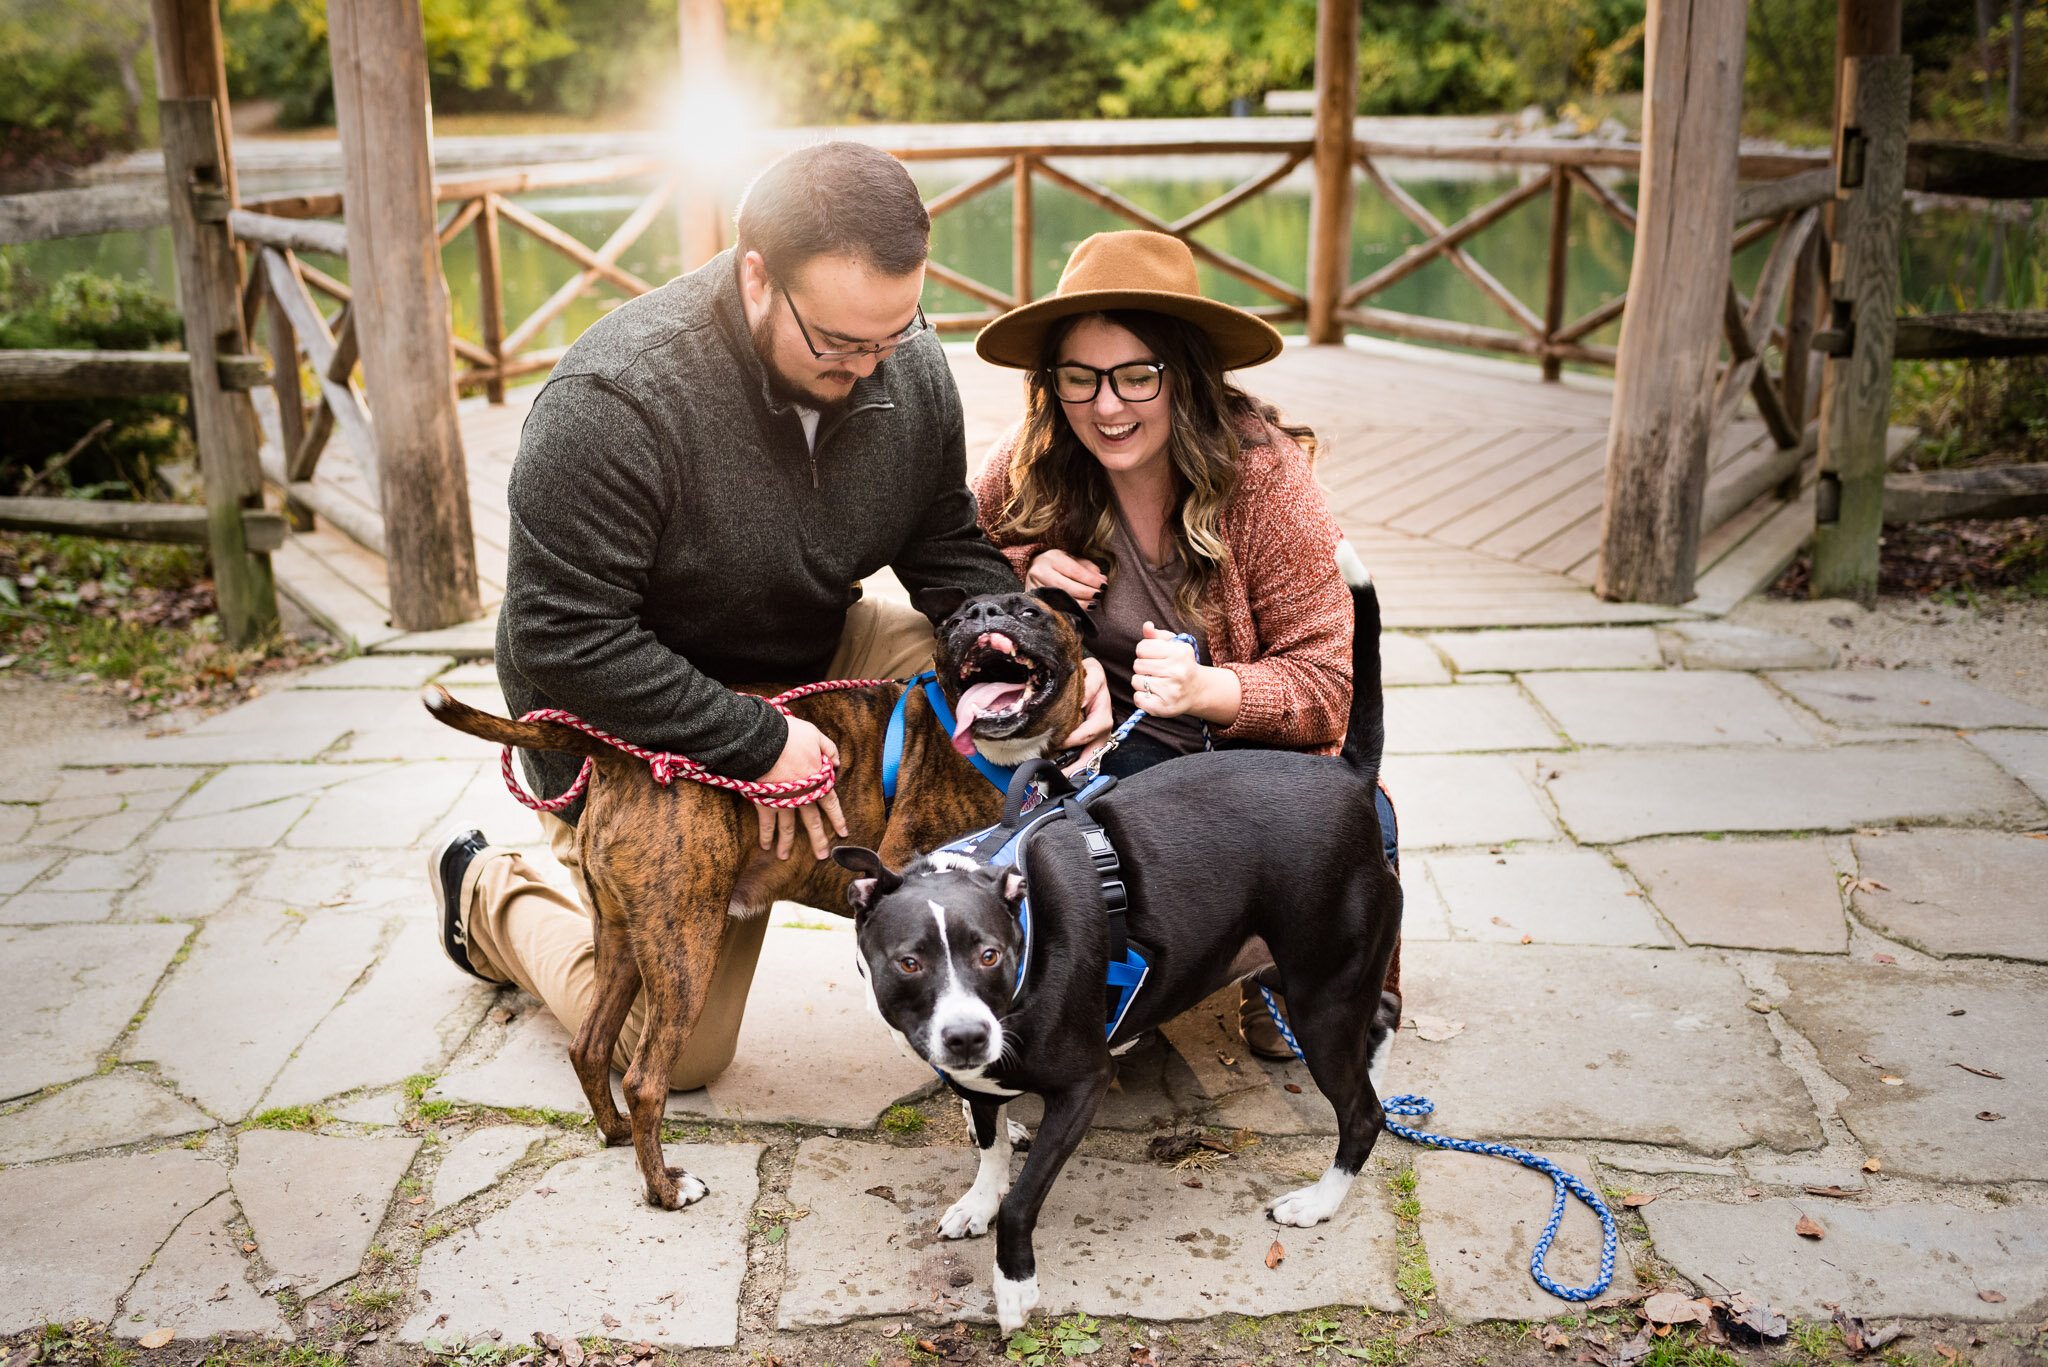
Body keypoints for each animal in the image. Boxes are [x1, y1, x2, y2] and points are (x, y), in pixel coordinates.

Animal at [411, 590, 1089, 1205]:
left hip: (625, 939)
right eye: (951, 623)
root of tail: (618, 754)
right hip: (686, 950)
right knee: (645, 1079)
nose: (979, 615)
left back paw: (616, 1133)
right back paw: (664, 1189)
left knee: (589, 1045)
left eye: (1029, 612)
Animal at [831, 573, 1392, 1328]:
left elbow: (1022, 1198)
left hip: (1320, 999)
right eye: (908, 962)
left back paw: (1321, 1200)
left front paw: (1014, 1285)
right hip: (1311, 977)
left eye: (989, 955)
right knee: (1380, 1014)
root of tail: (1349, 776)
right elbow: (989, 1144)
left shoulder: (1079, 1089)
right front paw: (978, 1200)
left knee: (1362, 1111)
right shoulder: (977, 1081)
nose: (966, 1036)